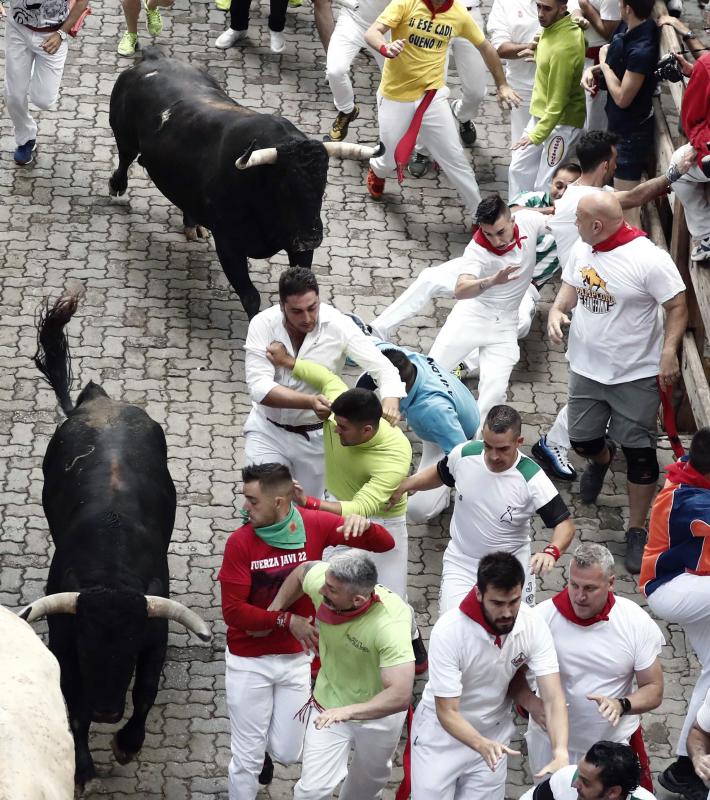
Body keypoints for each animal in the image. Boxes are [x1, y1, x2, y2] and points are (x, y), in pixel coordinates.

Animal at [21, 290, 211, 792]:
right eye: (89, 648)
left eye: (128, 649)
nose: (108, 711)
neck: (110, 562)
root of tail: (98, 401)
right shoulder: (65, 642)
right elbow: (74, 704)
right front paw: (84, 767)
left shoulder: (154, 636)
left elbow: (145, 691)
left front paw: (127, 743)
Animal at [107, 47, 384, 318]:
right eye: (286, 186)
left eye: (323, 184)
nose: (312, 237)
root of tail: (154, 58)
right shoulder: (229, 244)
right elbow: (251, 296)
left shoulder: (299, 247)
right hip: (124, 134)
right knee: (125, 157)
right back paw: (117, 186)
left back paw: (193, 224)